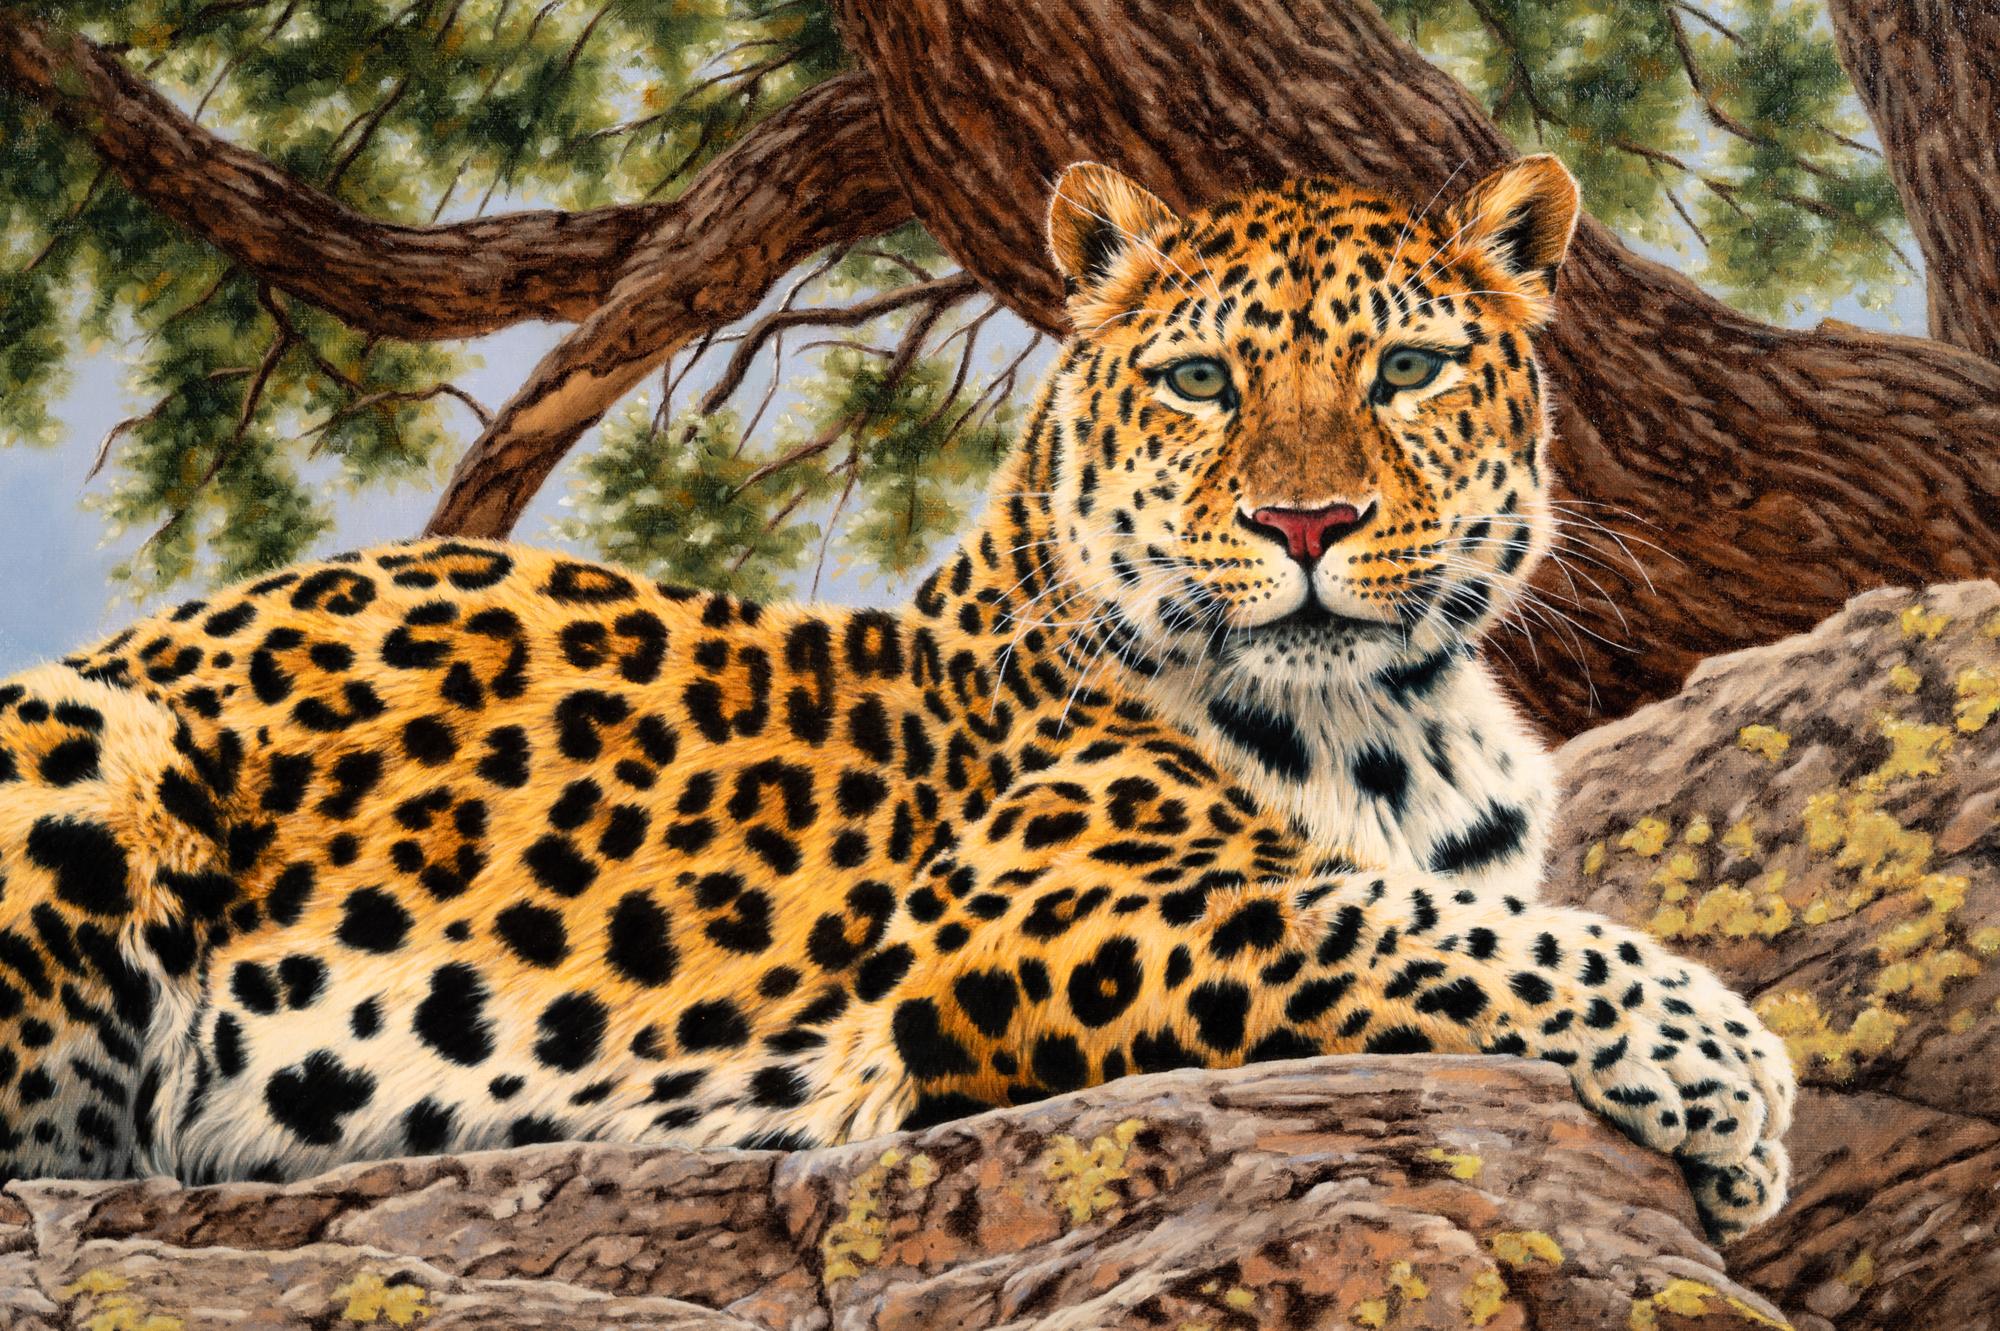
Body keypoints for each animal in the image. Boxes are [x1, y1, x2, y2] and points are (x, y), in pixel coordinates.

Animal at [0, 155, 1792, 1240]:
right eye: (1200, 380)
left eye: (1408, 372)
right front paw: (1733, 1075)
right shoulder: (1039, 906)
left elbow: (1465, 907)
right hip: (89, 745)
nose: (1307, 522)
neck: (1400, 725)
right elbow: (1418, 921)